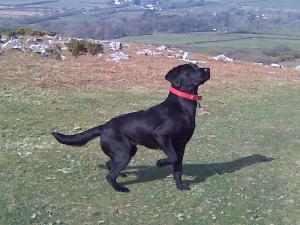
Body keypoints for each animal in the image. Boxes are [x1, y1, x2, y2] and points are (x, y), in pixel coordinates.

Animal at [52, 63, 211, 192]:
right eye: (190, 70)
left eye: (197, 66)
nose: (208, 69)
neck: (181, 107)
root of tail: (104, 127)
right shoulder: (161, 136)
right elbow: (172, 157)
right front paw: (160, 163)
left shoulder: (181, 145)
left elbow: (178, 167)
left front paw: (180, 186)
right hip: (124, 153)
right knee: (109, 176)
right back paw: (120, 188)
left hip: (128, 150)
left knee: (110, 163)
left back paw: (121, 174)